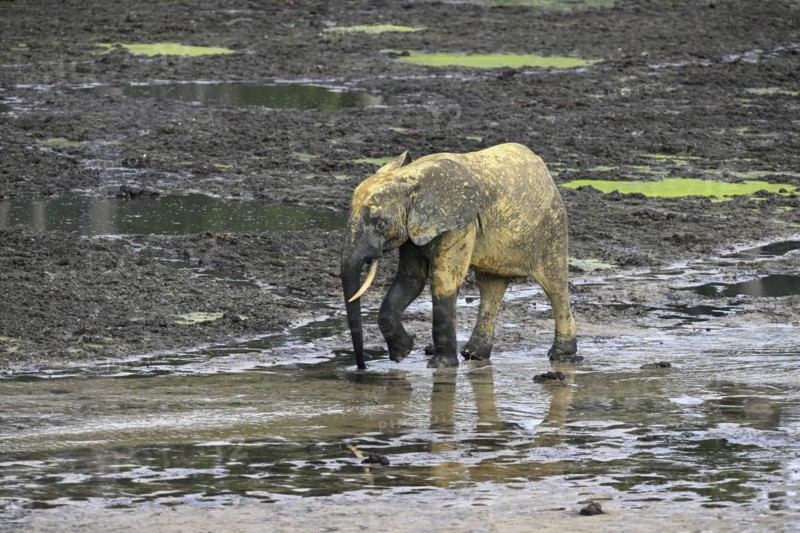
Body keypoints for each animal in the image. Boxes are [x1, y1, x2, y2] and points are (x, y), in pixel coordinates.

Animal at [341, 143, 577, 370]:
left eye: (381, 224)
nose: (361, 367)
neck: (412, 177)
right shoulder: (412, 228)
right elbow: (410, 279)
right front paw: (403, 353)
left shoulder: (461, 223)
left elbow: (443, 279)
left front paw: (440, 366)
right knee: (491, 288)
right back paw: (474, 355)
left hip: (552, 227)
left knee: (554, 286)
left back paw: (562, 356)